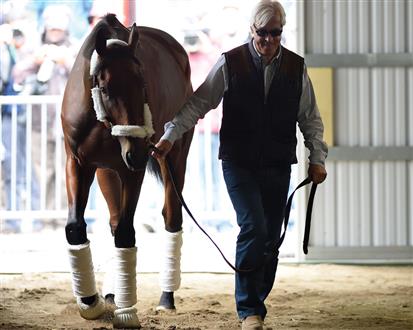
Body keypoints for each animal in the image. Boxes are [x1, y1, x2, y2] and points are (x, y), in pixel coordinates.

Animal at [61, 14, 193, 328]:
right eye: (106, 88)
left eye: (142, 83)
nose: (139, 152)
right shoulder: (78, 163)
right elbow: (76, 227)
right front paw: (90, 301)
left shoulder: (132, 170)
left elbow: (125, 232)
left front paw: (126, 312)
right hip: (107, 172)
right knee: (112, 220)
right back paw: (111, 294)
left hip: (174, 156)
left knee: (172, 217)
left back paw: (166, 297)